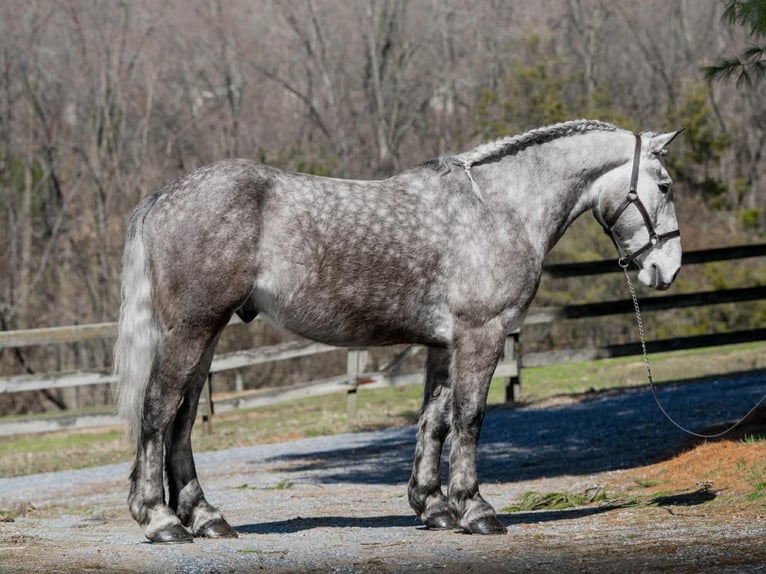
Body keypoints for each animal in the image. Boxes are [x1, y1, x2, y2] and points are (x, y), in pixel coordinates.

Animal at [114, 119, 683, 543]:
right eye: (665, 186)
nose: (668, 268)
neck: (499, 208)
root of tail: (163, 196)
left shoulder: (444, 345)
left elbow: (434, 421)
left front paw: (434, 507)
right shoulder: (482, 334)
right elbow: (470, 419)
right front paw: (476, 510)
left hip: (204, 335)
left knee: (183, 420)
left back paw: (206, 518)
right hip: (193, 329)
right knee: (159, 410)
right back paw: (161, 520)